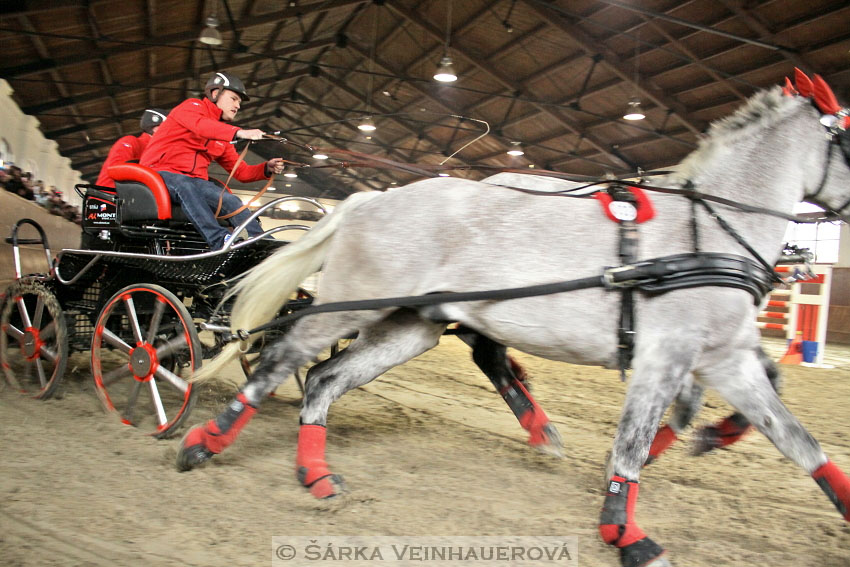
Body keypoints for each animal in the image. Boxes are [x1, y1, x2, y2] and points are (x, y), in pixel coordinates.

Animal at [176, 75, 844, 567]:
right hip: (355, 306)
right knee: (278, 363)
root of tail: (370, 198)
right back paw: (201, 442)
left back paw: (316, 472)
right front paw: (625, 531)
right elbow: (631, 441)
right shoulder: (666, 355)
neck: (704, 233)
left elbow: (794, 435)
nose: (806, 261)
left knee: (324, 378)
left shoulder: (723, 357)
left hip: (410, 327)